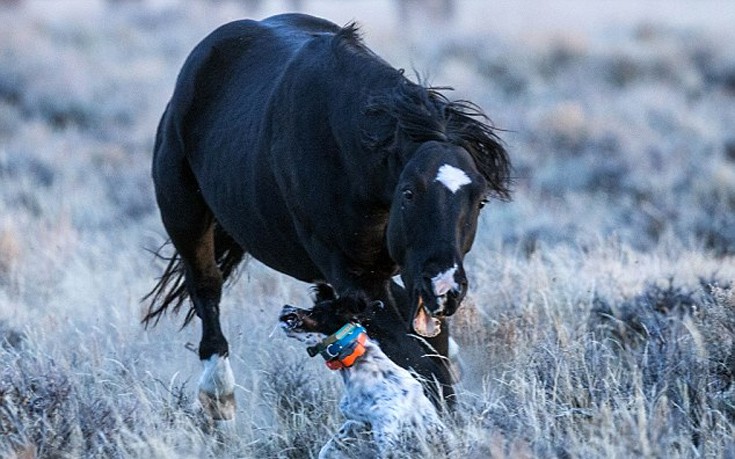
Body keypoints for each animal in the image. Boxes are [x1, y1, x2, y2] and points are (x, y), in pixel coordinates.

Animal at [145, 12, 512, 420]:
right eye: (408, 193)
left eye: (480, 201)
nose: (444, 288)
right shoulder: (355, 277)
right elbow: (418, 360)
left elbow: (426, 347)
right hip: (185, 215)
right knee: (206, 287)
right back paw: (218, 395)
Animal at [280, 286, 454, 458]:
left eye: (315, 311)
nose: (286, 307)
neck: (358, 361)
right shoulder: (357, 421)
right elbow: (328, 447)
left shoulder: (386, 431)